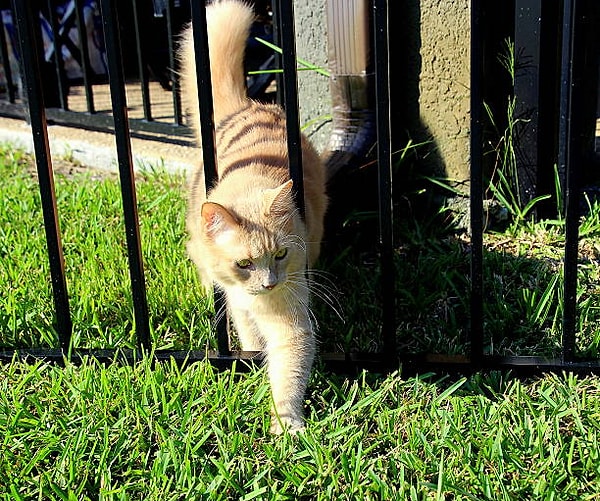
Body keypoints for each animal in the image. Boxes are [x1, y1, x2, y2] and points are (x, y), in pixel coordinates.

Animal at [178, 0, 328, 432]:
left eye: (280, 254)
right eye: (244, 263)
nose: (269, 283)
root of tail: (249, 105)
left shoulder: (291, 320)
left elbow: (288, 371)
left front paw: (286, 423)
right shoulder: (239, 301)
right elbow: (247, 333)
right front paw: (250, 356)